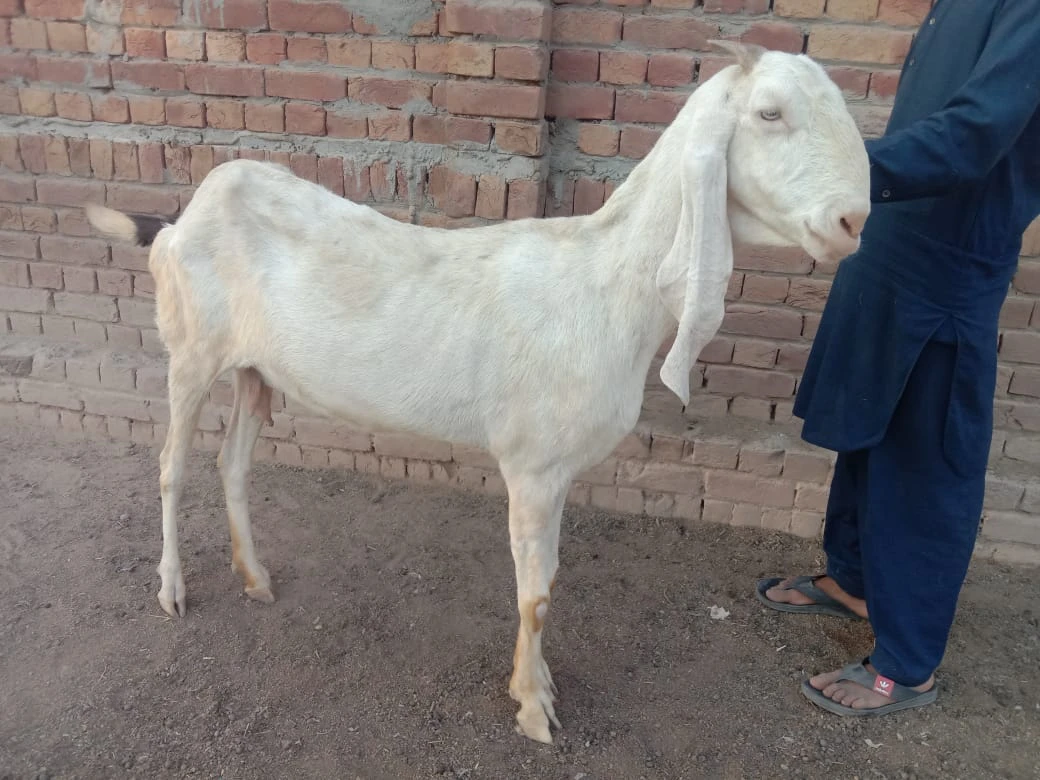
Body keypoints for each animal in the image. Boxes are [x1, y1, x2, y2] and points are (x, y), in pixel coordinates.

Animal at [87, 44, 869, 744]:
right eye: (769, 113)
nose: (851, 223)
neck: (607, 282)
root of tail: (180, 220)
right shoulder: (533, 465)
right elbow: (538, 593)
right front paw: (532, 709)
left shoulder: (556, 471)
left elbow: (547, 580)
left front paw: (539, 686)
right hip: (190, 351)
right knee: (171, 467)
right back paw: (172, 590)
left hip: (256, 371)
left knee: (233, 464)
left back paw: (254, 577)